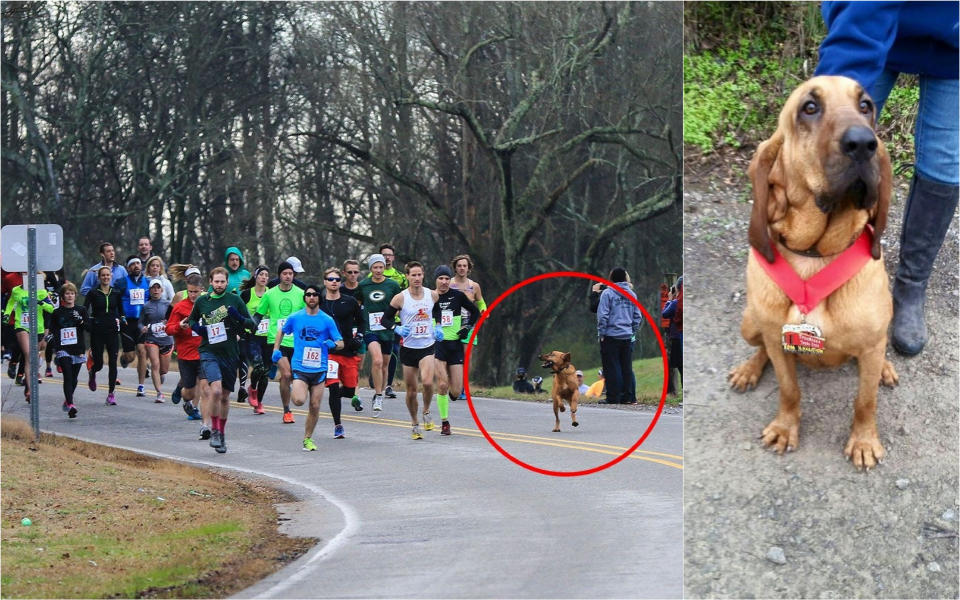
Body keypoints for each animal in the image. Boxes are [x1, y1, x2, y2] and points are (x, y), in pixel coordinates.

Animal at [736, 76, 900, 468]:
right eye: (809, 108)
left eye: (866, 106)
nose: (864, 144)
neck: (815, 253)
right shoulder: (777, 340)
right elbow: (788, 389)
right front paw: (785, 428)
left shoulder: (871, 344)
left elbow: (865, 401)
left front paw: (864, 441)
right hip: (749, 323)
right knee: (762, 349)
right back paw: (749, 369)